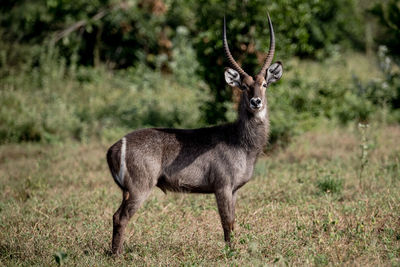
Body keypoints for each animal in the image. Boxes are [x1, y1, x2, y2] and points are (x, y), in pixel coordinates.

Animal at [104, 14, 282, 255]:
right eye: (243, 87)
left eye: (264, 84)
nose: (256, 102)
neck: (241, 142)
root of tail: (114, 147)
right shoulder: (222, 186)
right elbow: (226, 222)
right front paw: (230, 253)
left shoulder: (234, 190)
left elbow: (233, 221)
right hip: (139, 187)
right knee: (120, 217)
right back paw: (118, 255)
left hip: (127, 190)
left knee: (116, 215)